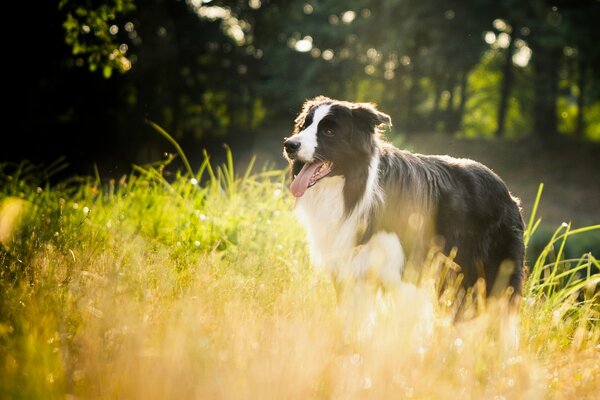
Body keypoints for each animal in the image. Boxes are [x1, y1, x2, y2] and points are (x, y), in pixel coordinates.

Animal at [284, 96, 524, 304]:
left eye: (329, 131)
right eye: (304, 126)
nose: (289, 144)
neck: (353, 187)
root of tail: (505, 188)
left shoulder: (404, 272)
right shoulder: (351, 270)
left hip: (494, 270)